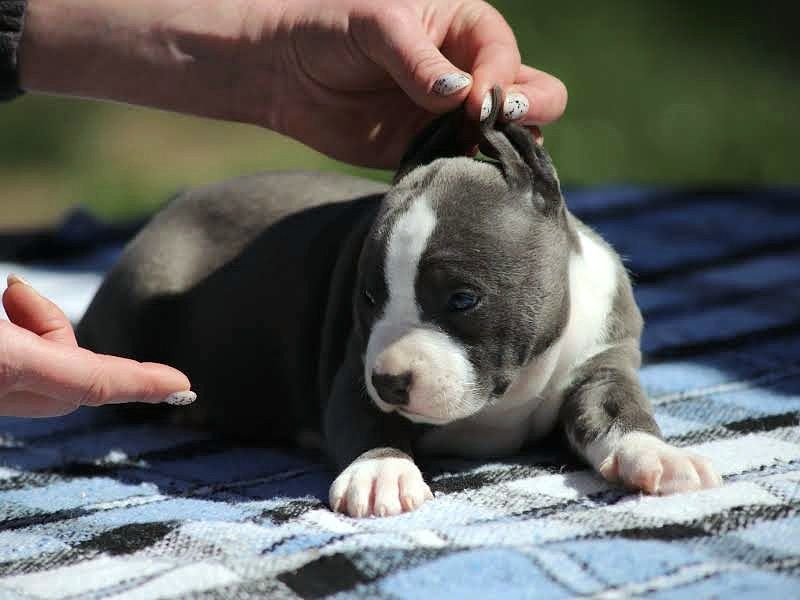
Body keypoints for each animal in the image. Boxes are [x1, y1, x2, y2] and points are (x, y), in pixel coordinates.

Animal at [78, 88, 720, 516]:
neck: (507, 393)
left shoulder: (602, 360)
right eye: (368, 297)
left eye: (463, 298)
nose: (389, 381)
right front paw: (382, 473)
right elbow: (364, 419)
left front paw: (658, 456)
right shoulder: (351, 369)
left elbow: (618, 411)